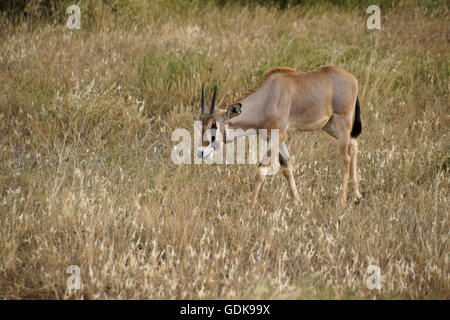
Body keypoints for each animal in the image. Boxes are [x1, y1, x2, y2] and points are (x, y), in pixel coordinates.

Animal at [197, 65, 362, 210]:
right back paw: (356, 196)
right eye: (201, 124)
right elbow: (286, 166)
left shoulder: (279, 136)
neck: (267, 99)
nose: (201, 152)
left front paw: (250, 208)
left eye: (214, 125)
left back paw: (342, 200)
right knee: (353, 144)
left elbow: (261, 171)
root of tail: (353, 78)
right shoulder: (275, 139)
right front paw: (297, 201)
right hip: (329, 126)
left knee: (345, 157)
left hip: (342, 123)